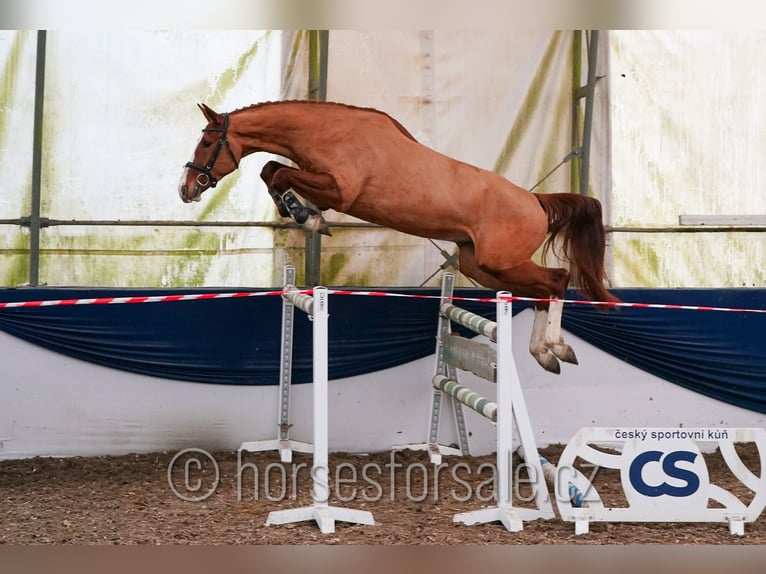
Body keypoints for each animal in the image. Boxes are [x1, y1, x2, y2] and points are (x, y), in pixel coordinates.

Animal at [178, 100, 618, 374]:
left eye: (206, 141)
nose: (186, 189)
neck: (325, 130)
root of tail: (536, 200)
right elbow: (271, 170)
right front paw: (302, 214)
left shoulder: (340, 190)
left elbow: (278, 172)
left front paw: (308, 217)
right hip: (483, 266)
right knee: (544, 289)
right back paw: (545, 354)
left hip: (499, 262)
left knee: (558, 280)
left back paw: (556, 348)